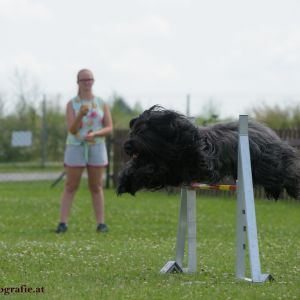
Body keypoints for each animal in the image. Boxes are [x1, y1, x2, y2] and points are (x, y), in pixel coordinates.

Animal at [116, 105, 300, 199]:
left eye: (142, 132)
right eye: (133, 131)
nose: (127, 146)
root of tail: (265, 129)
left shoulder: (180, 165)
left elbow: (153, 170)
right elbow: (141, 168)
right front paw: (125, 182)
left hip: (266, 164)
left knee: (287, 169)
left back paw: (294, 187)